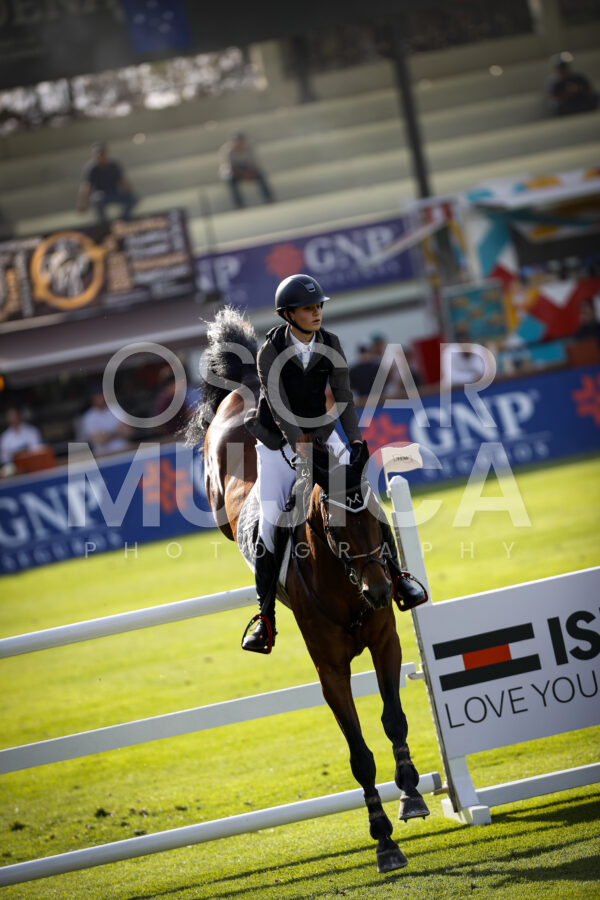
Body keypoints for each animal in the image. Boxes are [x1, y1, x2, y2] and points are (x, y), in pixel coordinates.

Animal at [188, 308, 429, 873]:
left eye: (376, 522)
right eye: (333, 527)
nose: (380, 592)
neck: (345, 583)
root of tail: (244, 390)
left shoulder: (386, 642)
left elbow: (394, 720)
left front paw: (411, 795)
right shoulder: (330, 671)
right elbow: (359, 753)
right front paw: (383, 840)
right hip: (220, 490)